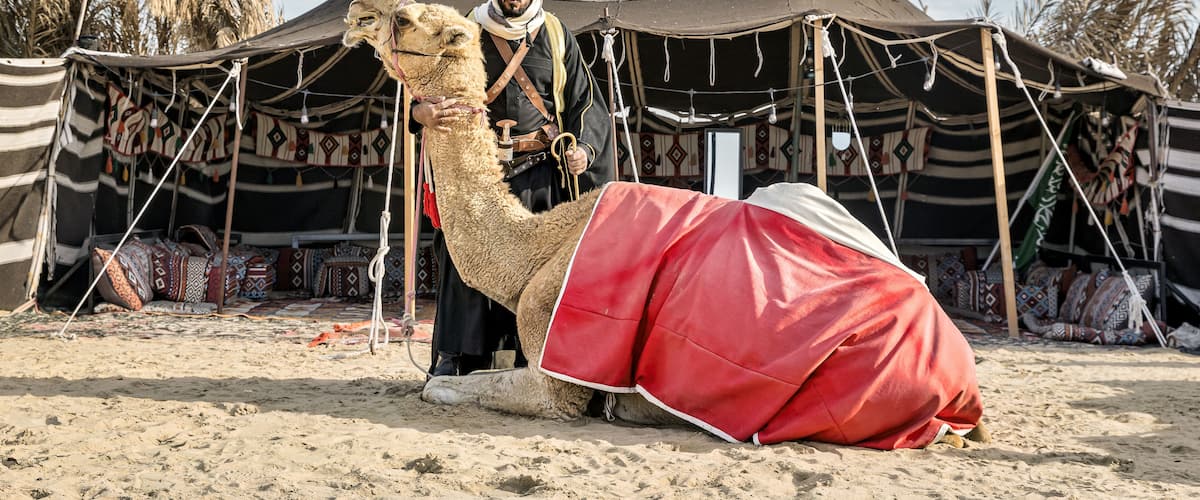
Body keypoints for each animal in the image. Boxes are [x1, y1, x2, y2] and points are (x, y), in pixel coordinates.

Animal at [342, 1, 990, 448]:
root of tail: (965, 387)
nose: (356, 13)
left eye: (404, 18)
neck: (534, 249)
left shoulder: (558, 372)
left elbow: (442, 388)